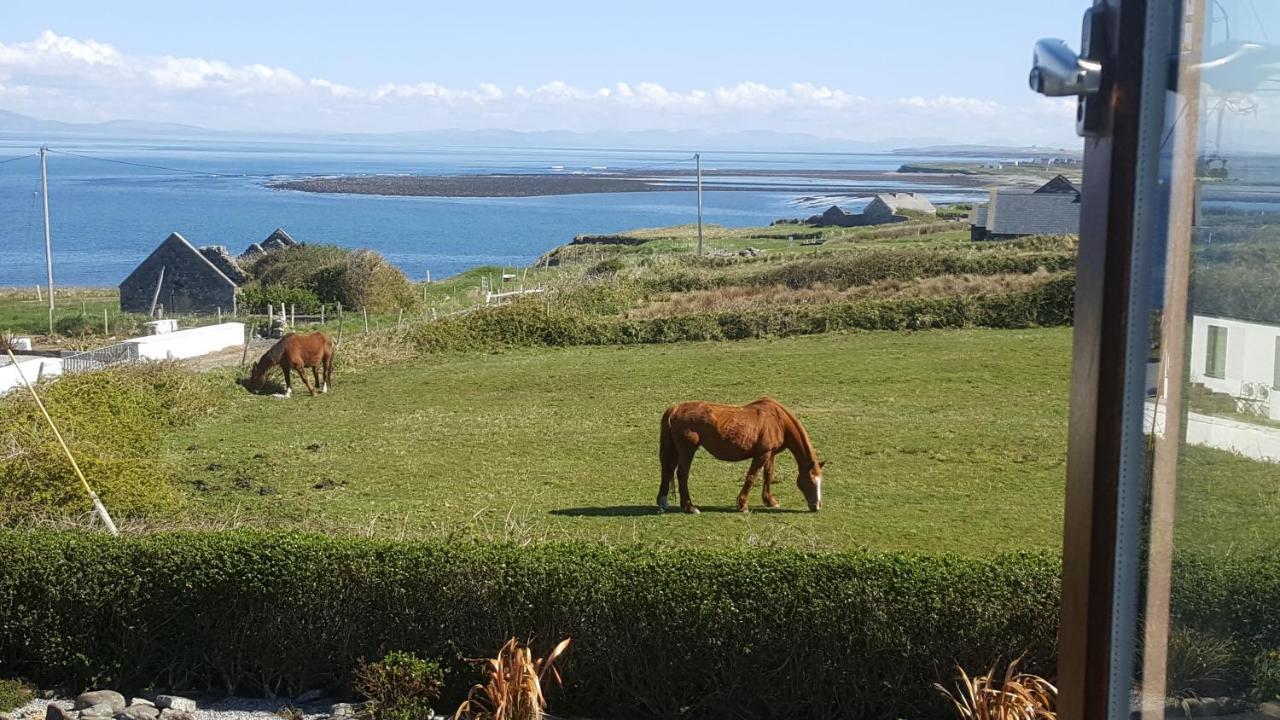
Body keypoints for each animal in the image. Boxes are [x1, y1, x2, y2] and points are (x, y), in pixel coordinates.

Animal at [655, 394, 824, 512]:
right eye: (810, 481)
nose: (816, 506)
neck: (778, 421)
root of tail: (674, 409)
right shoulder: (762, 454)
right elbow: (752, 477)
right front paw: (742, 505)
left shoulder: (770, 453)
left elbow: (768, 475)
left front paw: (770, 501)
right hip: (687, 450)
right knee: (682, 474)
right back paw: (689, 507)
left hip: (674, 450)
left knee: (667, 470)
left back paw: (663, 502)